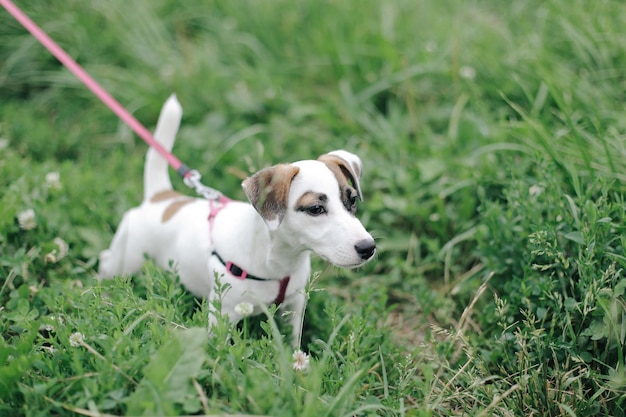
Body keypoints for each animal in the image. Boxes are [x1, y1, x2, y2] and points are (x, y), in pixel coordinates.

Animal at [95, 94, 372, 344]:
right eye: (315, 209)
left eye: (353, 201)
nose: (368, 248)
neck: (277, 259)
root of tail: (160, 197)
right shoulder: (224, 314)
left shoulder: (294, 305)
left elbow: (292, 341)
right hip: (127, 258)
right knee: (107, 260)